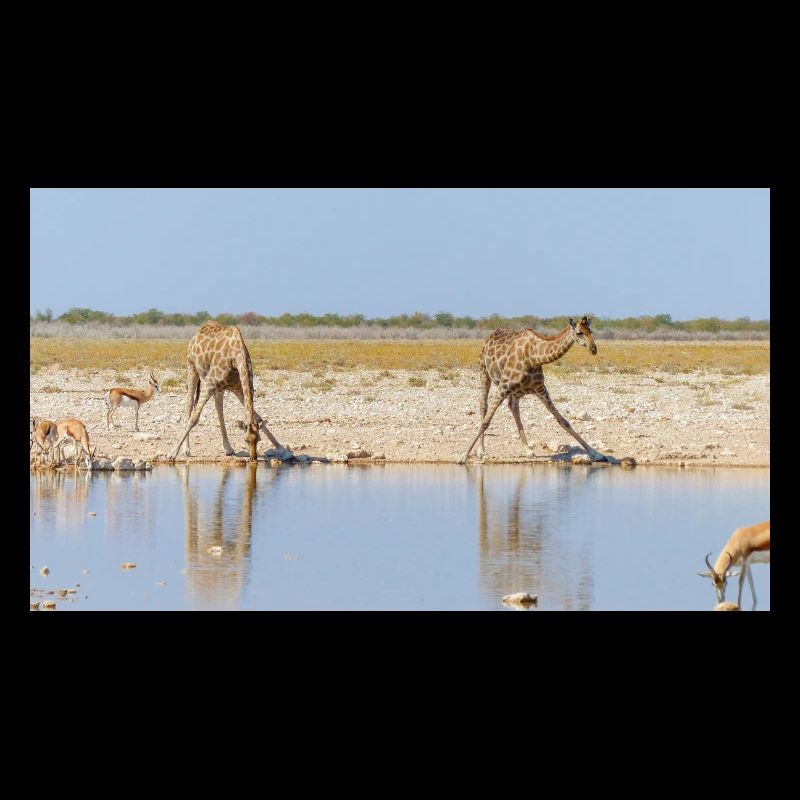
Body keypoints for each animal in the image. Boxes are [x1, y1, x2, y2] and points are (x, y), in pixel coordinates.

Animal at [167, 321, 284, 462]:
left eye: (258, 440)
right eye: (245, 440)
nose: (253, 459)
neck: (236, 356)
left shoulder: (238, 388)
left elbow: (258, 417)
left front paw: (281, 448)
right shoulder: (209, 384)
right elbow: (194, 419)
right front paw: (172, 453)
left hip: (219, 388)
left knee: (219, 408)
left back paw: (228, 448)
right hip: (192, 367)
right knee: (189, 405)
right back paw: (186, 449)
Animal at [458, 316, 609, 465]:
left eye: (591, 331)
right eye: (579, 332)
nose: (593, 349)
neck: (535, 357)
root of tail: (490, 336)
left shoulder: (541, 389)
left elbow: (563, 421)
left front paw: (597, 454)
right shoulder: (503, 387)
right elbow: (486, 422)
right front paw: (463, 457)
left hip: (516, 391)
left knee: (513, 407)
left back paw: (527, 450)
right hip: (484, 372)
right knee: (483, 405)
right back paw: (481, 451)